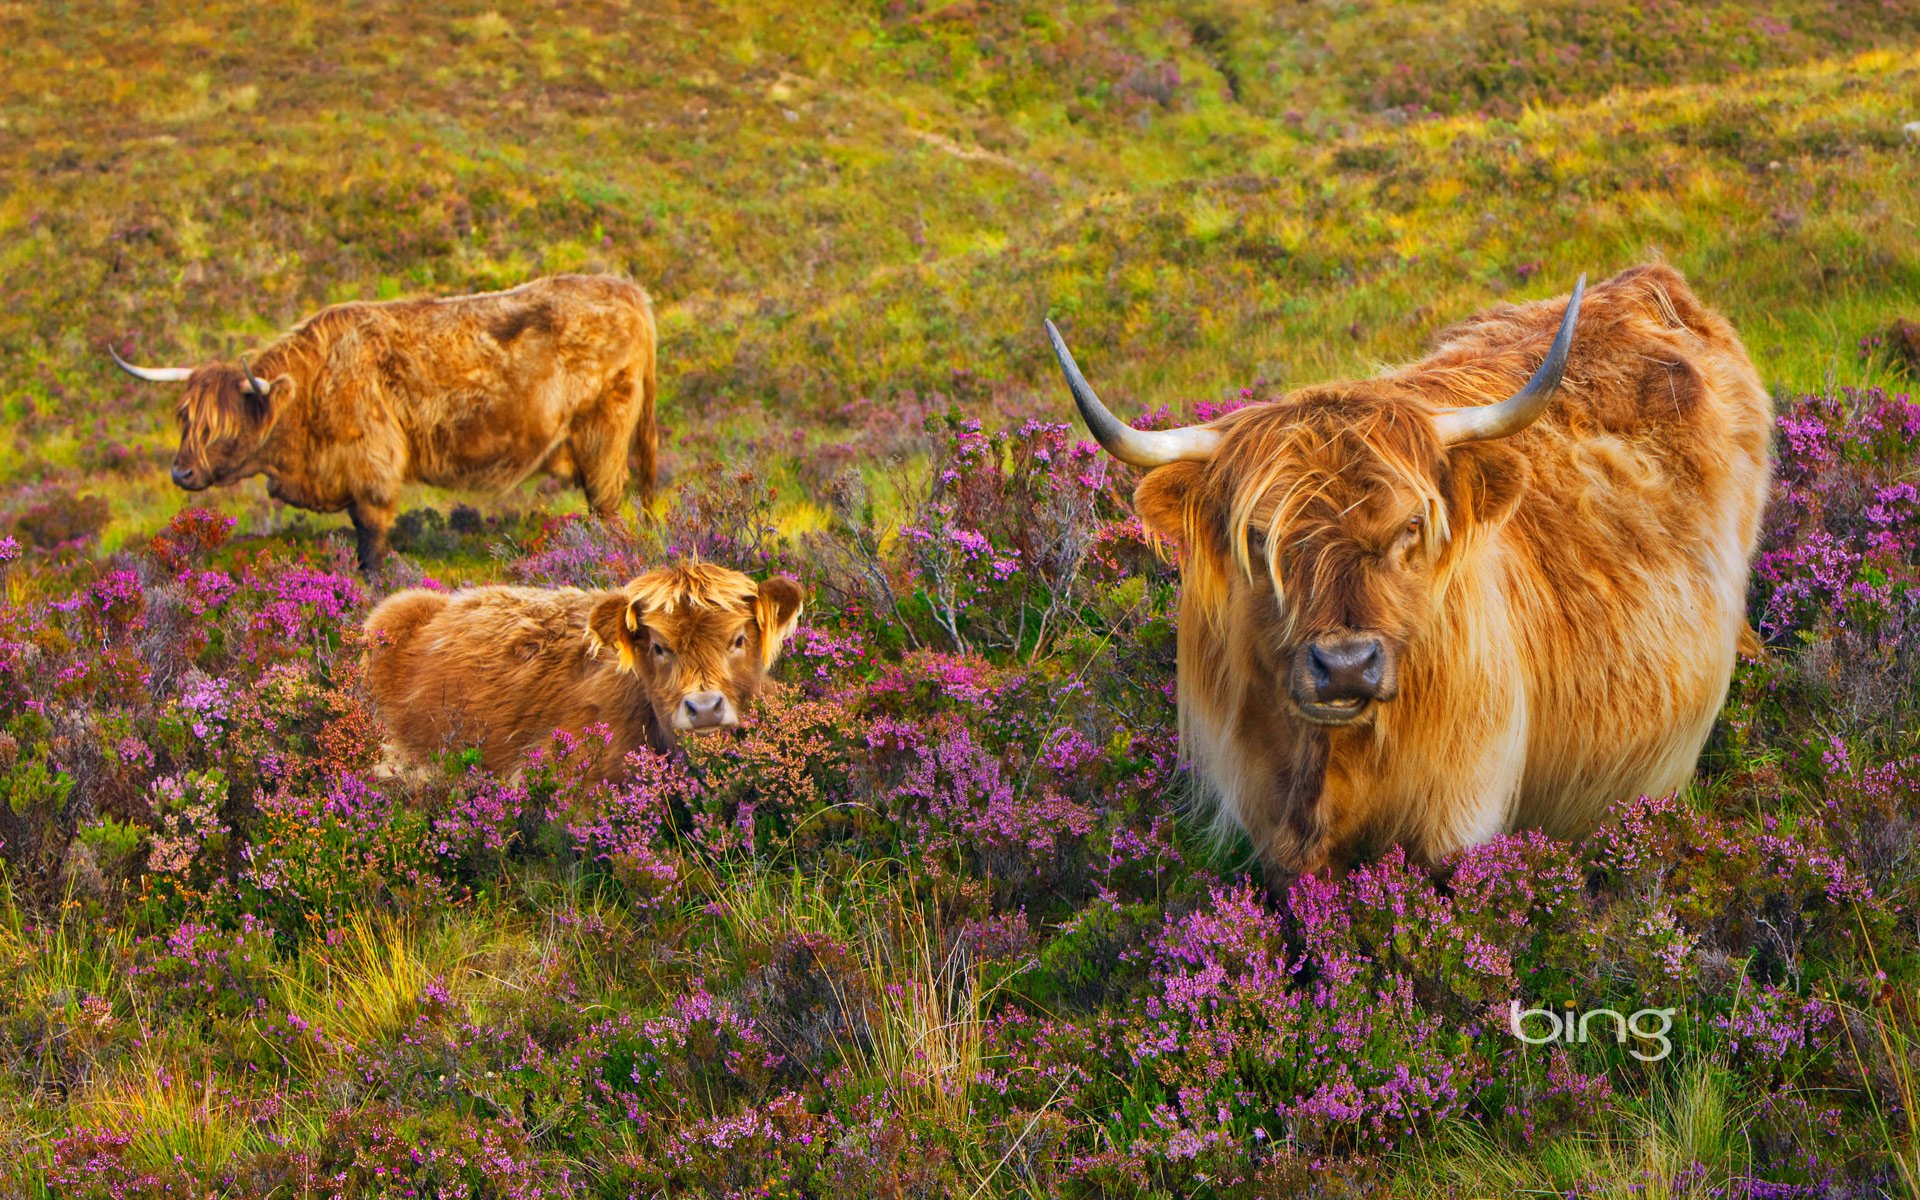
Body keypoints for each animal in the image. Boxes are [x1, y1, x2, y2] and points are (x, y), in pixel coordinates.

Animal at [110, 274, 660, 572]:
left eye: (219, 428)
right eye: (185, 419)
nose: (181, 472)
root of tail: (628, 290)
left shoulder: (370, 465)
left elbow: (370, 540)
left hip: (602, 433)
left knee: (607, 504)